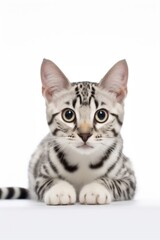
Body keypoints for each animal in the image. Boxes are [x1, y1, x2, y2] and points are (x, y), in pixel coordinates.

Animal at [0, 58, 136, 204]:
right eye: (68, 114)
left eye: (101, 115)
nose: (85, 134)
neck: (84, 161)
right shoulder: (40, 177)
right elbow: (50, 181)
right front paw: (60, 190)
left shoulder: (129, 179)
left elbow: (110, 181)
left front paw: (95, 189)